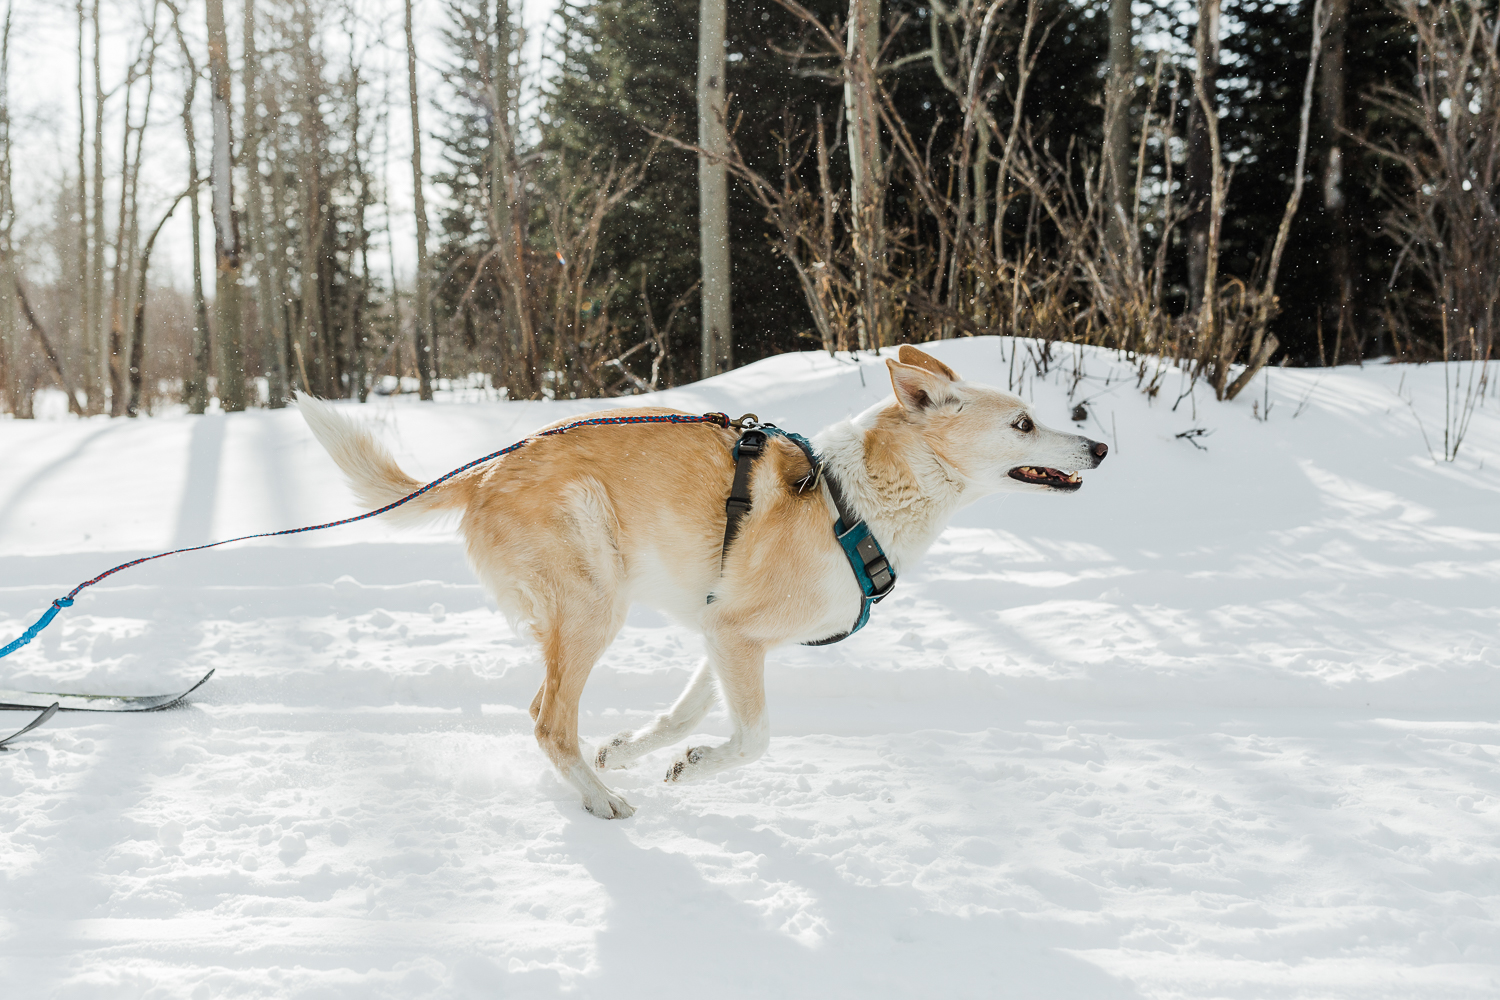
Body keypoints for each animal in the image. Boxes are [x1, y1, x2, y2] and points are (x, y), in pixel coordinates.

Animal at [298, 347, 1110, 815]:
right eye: (1024, 424)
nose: (1100, 448)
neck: (854, 503)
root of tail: (487, 470)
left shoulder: (721, 630)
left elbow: (685, 713)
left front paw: (635, 748)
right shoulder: (737, 636)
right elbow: (752, 738)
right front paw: (690, 771)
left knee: (548, 716)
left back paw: (598, 776)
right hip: (595, 608)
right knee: (547, 720)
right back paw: (601, 800)